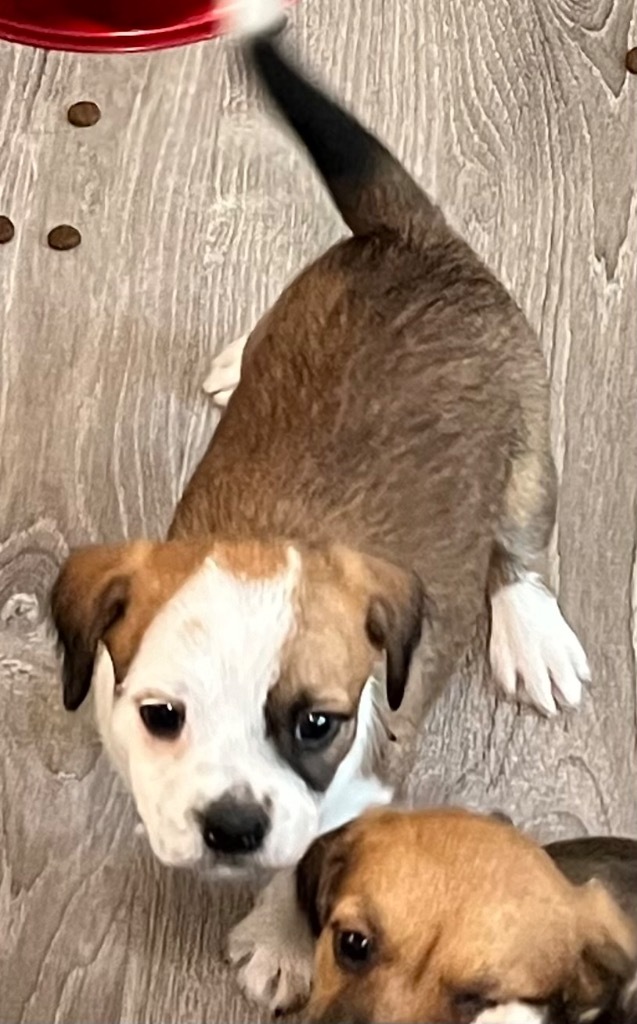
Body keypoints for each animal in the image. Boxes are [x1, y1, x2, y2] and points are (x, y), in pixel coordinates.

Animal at [49, 0, 589, 1007]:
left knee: (520, 545)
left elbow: (316, 859)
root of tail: (415, 237)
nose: (230, 826)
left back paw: (531, 629)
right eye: (162, 716)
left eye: (316, 725)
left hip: (529, 450)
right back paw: (237, 361)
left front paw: (280, 939)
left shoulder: (368, 778)